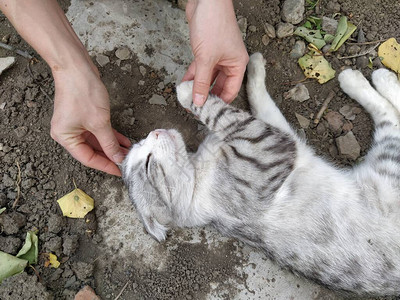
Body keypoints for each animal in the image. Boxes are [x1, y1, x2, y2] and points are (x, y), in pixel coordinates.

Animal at [121, 53, 400, 296]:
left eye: (142, 147)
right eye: (147, 164)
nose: (155, 132)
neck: (197, 170)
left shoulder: (276, 135)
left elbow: (258, 101)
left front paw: (253, 67)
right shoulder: (267, 146)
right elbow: (221, 113)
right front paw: (189, 91)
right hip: (389, 168)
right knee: (391, 120)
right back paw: (367, 78)